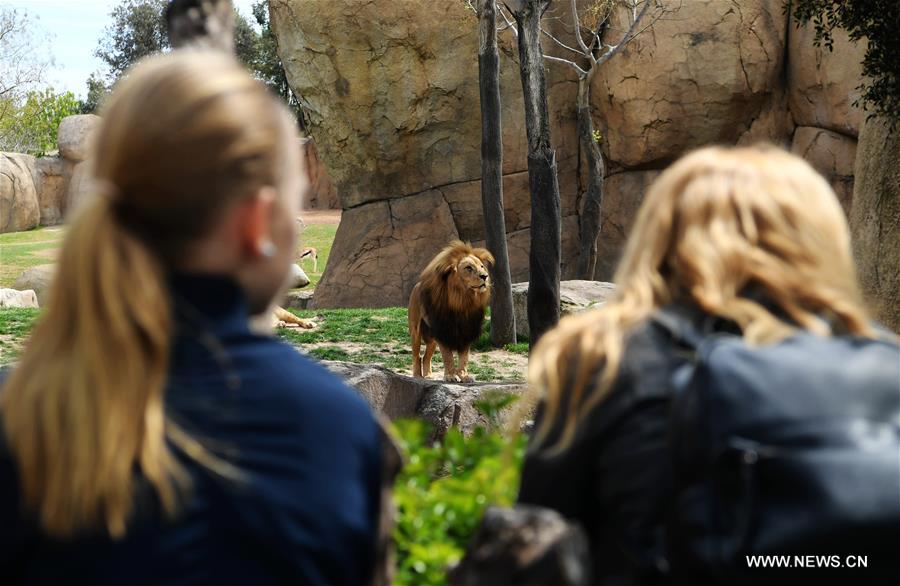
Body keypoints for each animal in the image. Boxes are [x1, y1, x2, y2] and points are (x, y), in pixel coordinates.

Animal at [408, 240, 492, 380]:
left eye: (482, 266)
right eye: (468, 268)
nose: (485, 276)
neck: (463, 301)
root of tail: (416, 286)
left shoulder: (467, 330)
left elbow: (464, 357)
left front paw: (464, 376)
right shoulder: (443, 330)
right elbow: (448, 357)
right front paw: (451, 376)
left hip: (432, 338)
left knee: (426, 357)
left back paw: (429, 376)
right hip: (416, 331)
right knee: (416, 355)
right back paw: (417, 376)